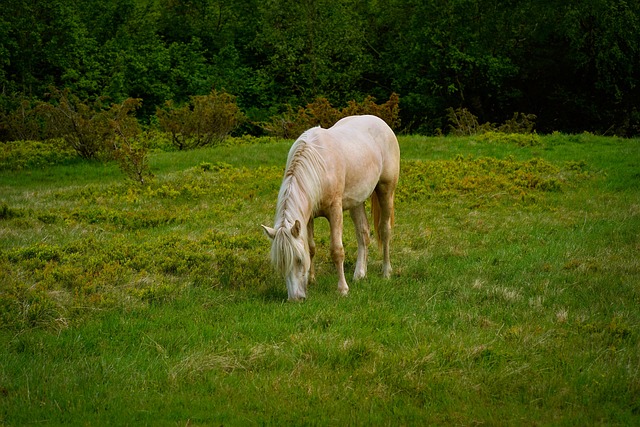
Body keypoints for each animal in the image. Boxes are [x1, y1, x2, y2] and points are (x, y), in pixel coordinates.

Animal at [262, 115, 400, 301]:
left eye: (298, 260)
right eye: (280, 264)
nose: (295, 298)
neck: (318, 166)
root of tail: (380, 122)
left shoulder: (335, 211)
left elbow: (337, 250)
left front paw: (342, 289)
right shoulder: (308, 217)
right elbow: (311, 247)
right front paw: (312, 281)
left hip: (386, 190)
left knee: (384, 230)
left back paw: (386, 272)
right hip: (357, 201)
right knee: (363, 233)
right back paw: (360, 274)